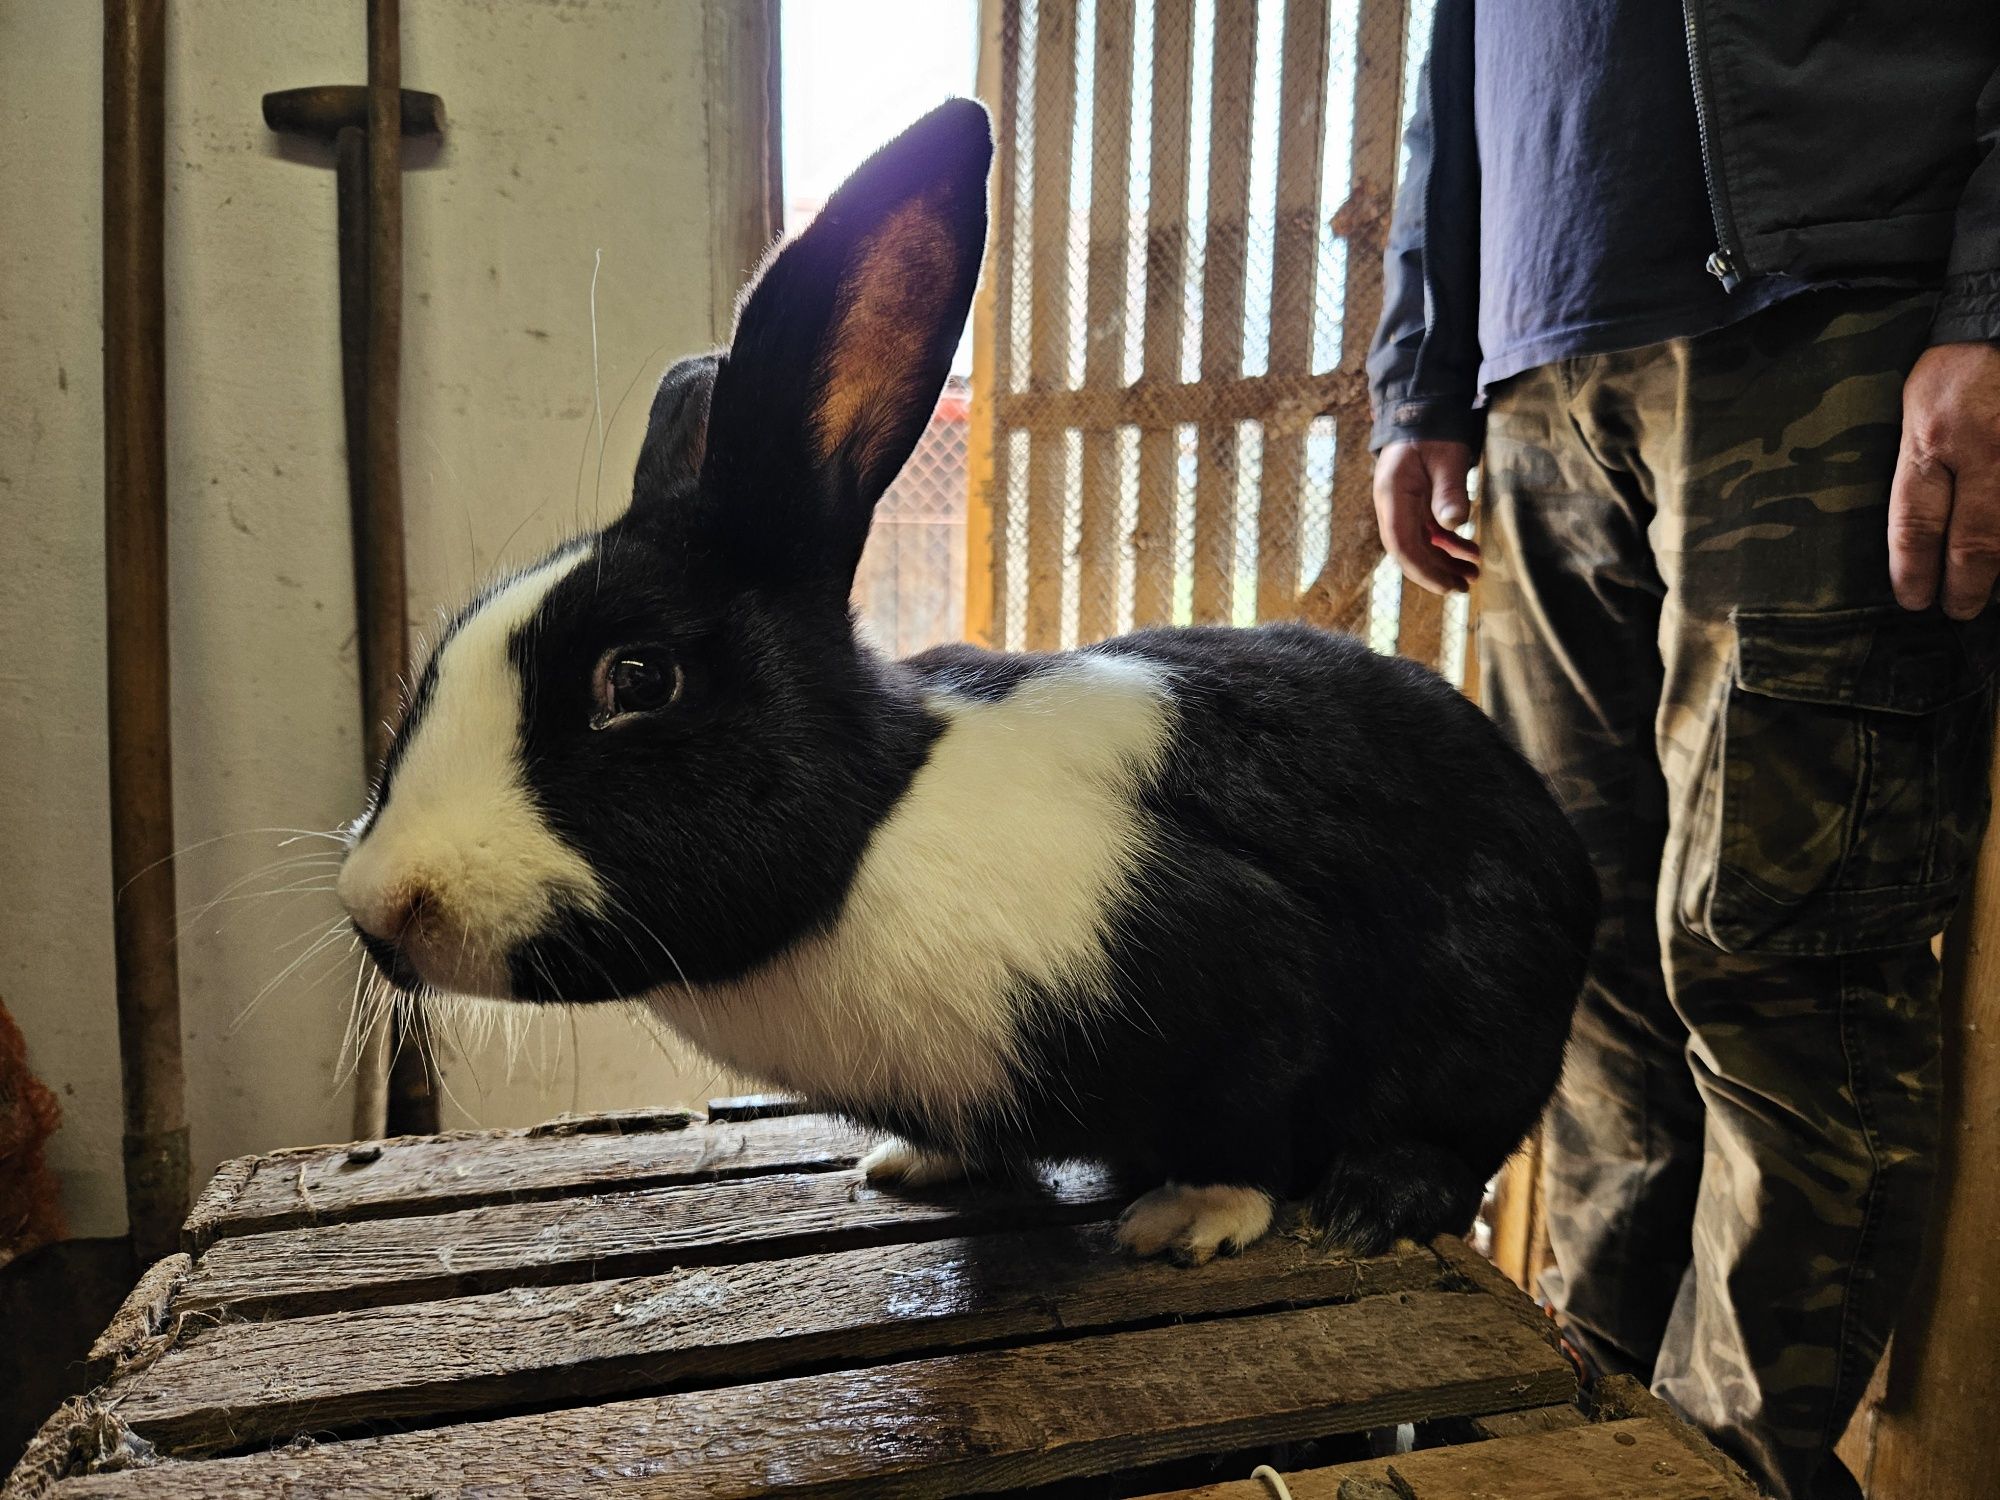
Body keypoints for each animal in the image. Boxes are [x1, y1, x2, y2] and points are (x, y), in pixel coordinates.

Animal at [340, 100, 1592, 1264]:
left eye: (638, 677)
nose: (382, 904)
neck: (869, 833)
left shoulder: (1246, 975)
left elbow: (1248, 1117)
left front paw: (1188, 1217)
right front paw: (916, 1161)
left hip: (1485, 1011)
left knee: (1449, 1138)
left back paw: (1365, 1198)